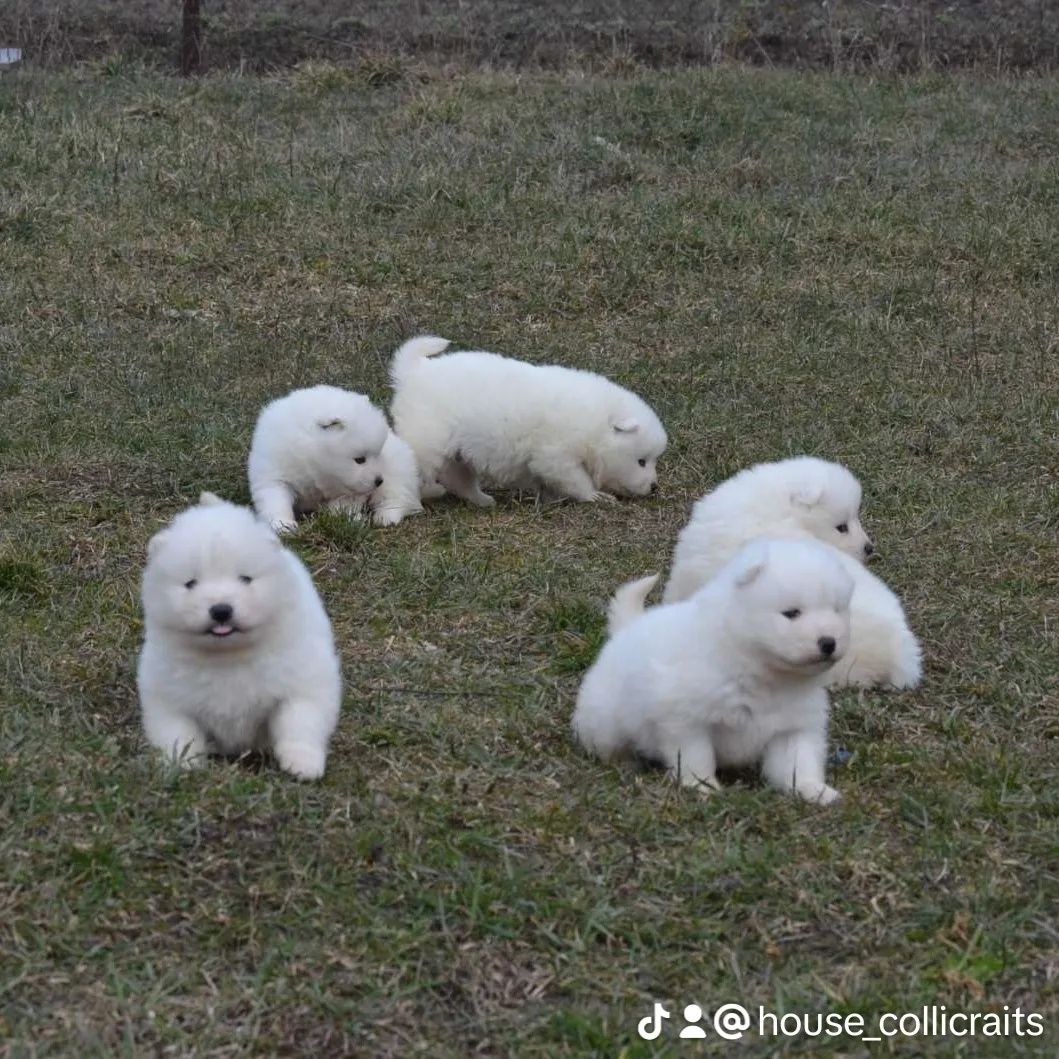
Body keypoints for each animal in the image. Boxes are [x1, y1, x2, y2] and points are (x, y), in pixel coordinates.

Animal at [136, 489, 340, 779]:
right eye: (190, 583)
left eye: (246, 578)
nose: (221, 610)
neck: (229, 656)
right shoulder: (168, 699)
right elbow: (180, 733)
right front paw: (183, 764)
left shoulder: (302, 685)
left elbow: (300, 723)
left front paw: (303, 763)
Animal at [247, 383, 421, 529]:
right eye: (359, 460)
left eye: (378, 454)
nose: (379, 480)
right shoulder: (275, 475)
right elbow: (276, 501)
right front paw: (282, 525)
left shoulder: (349, 489)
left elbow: (343, 506)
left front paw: (349, 519)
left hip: (397, 470)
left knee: (395, 497)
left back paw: (385, 518)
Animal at [389, 336, 669, 506]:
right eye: (641, 461)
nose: (654, 487)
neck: (595, 426)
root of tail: (414, 372)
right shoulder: (557, 456)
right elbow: (577, 480)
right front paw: (595, 496)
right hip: (428, 442)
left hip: (458, 453)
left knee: (458, 477)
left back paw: (482, 500)